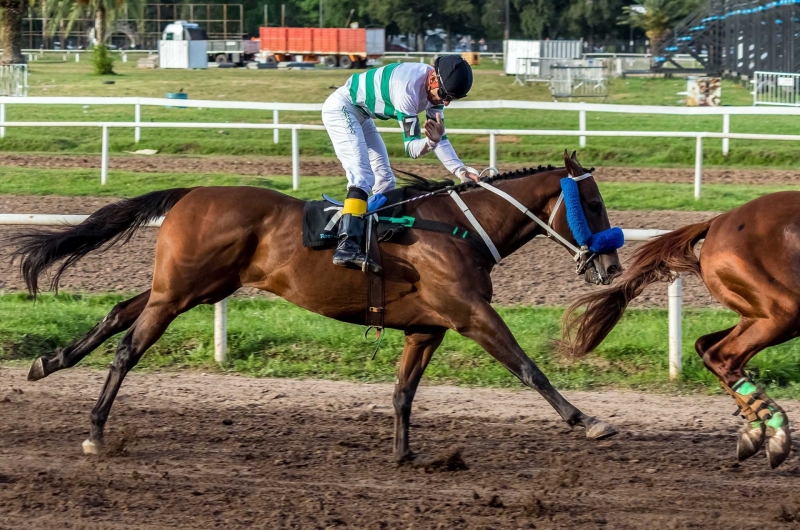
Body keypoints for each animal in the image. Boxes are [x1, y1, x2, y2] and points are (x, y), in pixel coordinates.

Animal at [9, 151, 624, 460]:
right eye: (592, 203)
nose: (613, 268)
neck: (458, 228)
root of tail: (190, 193)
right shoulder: (470, 315)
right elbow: (528, 366)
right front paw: (587, 420)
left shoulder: (427, 329)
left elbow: (403, 393)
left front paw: (402, 455)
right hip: (182, 291)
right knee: (128, 351)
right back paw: (95, 431)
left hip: (195, 288)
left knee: (119, 312)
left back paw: (49, 363)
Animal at [560, 190, 800, 466]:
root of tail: (718, 221)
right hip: (784, 310)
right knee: (720, 355)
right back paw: (777, 432)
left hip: (757, 313)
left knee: (706, 347)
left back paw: (755, 430)